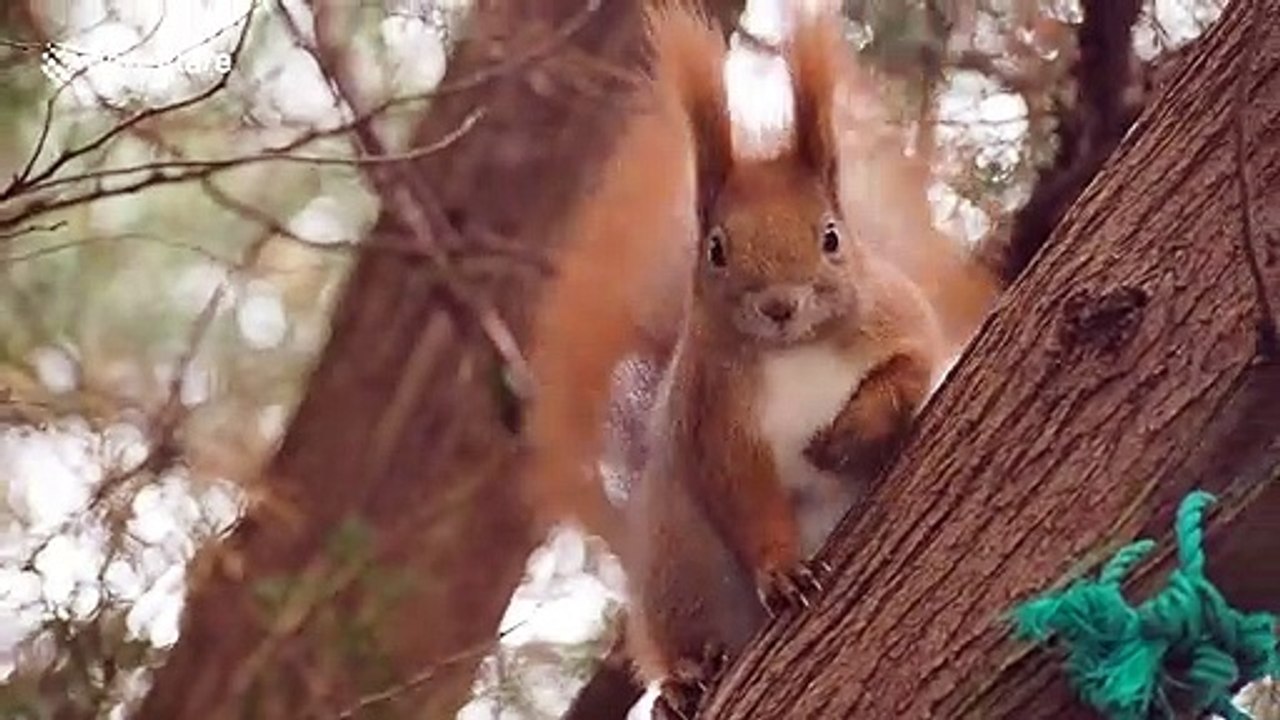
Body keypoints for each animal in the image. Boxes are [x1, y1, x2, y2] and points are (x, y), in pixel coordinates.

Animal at [523, 2, 991, 716]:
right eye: (717, 248)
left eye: (831, 236)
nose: (778, 305)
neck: (793, 350)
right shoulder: (714, 418)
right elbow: (745, 496)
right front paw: (782, 573)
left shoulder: (900, 320)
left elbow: (906, 375)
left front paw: (847, 437)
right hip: (681, 563)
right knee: (682, 633)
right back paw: (685, 681)